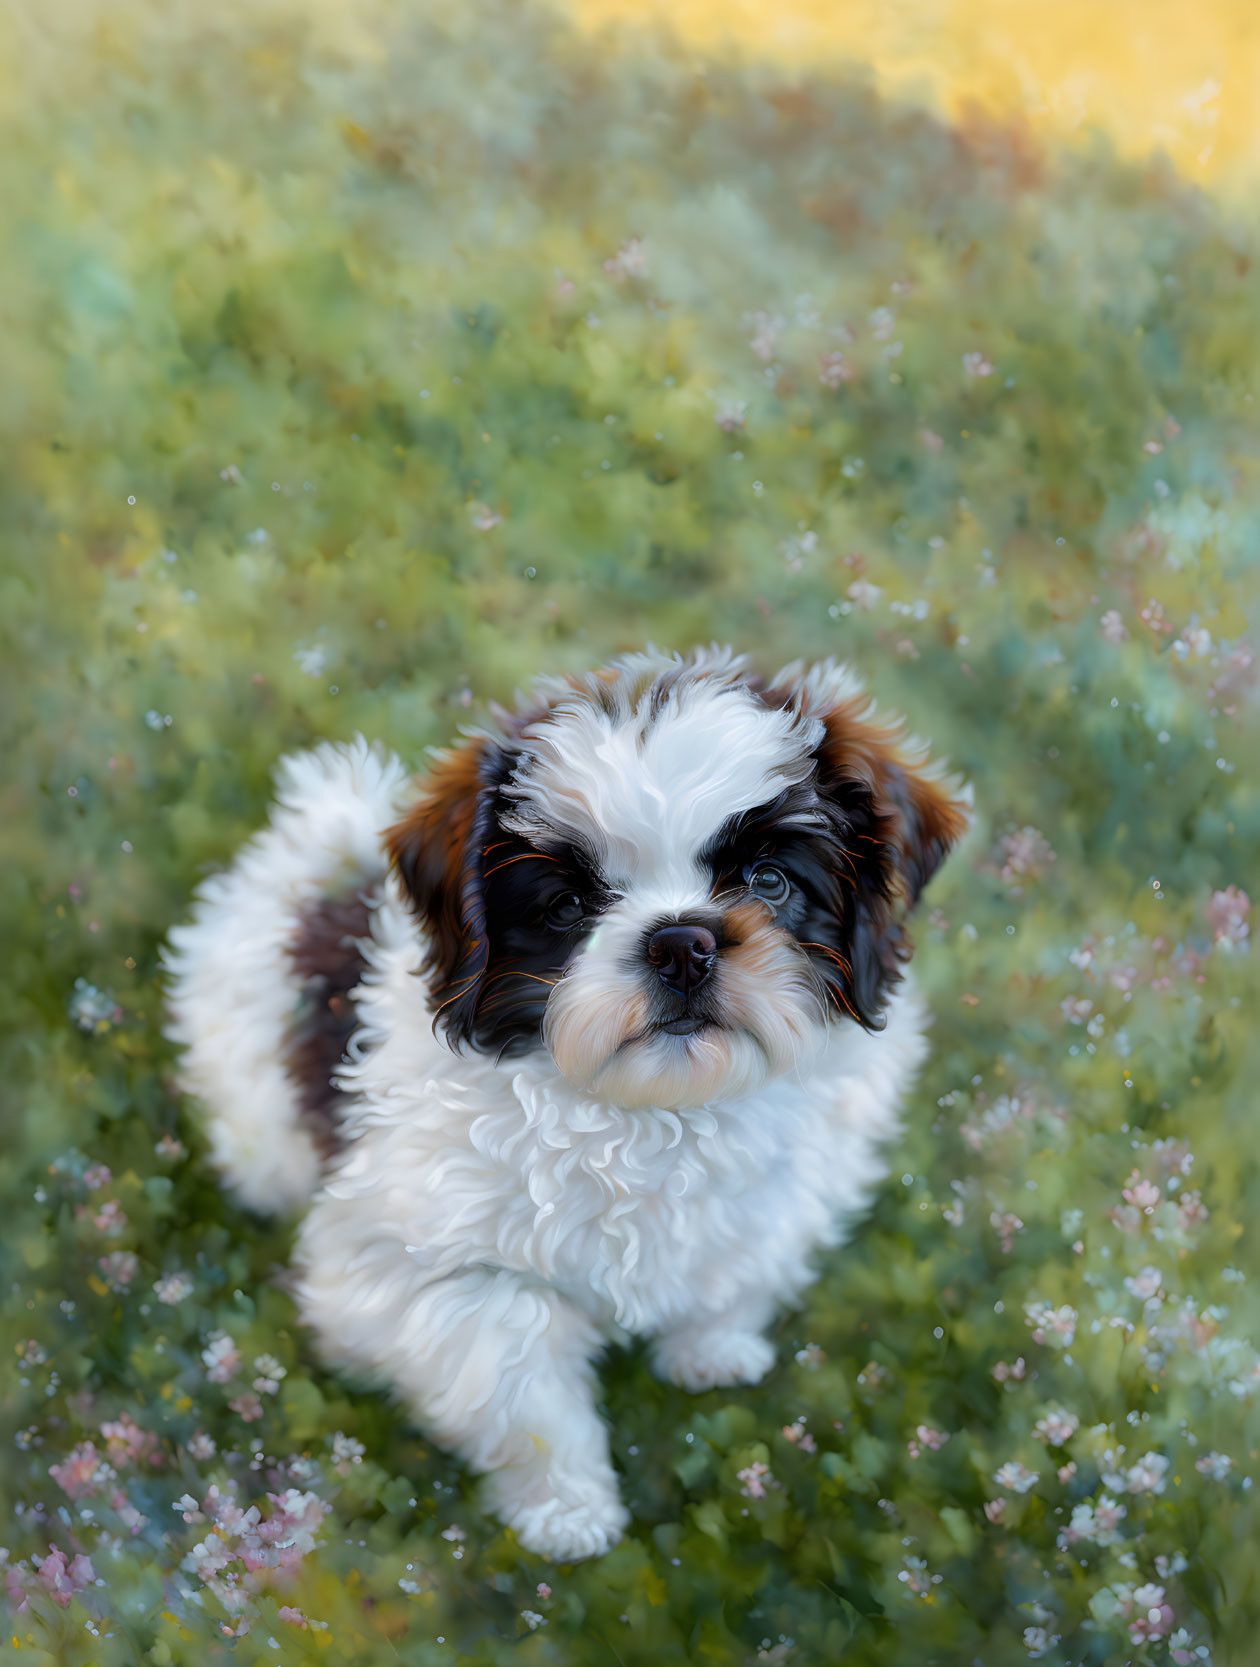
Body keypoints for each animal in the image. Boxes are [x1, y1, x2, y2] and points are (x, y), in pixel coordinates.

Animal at [165, 643, 966, 1553]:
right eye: (568, 907)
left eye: (769, 882)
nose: (680, 943)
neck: (660, 1113)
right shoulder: (435, 1273)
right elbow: (523, 1390)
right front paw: (569, 1512)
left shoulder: (773, 1206)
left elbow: (732, 1273)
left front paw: (712, 1348)